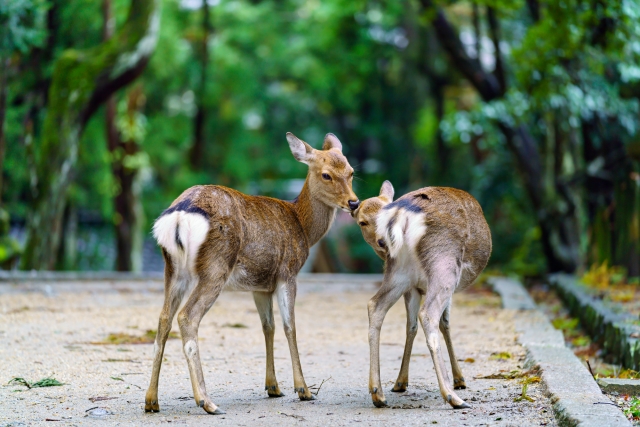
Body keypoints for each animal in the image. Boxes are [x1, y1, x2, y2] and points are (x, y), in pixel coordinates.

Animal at [144, 132, 359, 415]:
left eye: (351, 171)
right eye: (326, 175)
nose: (354, 202)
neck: (301, 226)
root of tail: (179, 216)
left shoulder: (260, 285)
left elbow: (268, 327)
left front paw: (273, 387)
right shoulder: (288, 272)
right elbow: (290, 326)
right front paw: (304, 390)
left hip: (173, 269)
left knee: (163, 319)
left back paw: (151, 400)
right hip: (215, 267)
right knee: (187, 317)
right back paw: (207, 401)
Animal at [352, 180, 491, 410]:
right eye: (362, 222)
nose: (381, 242)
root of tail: (402, 216)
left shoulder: (413, 287)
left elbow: (411, 326)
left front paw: (400, 382)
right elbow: (445, 323)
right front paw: (459, 379)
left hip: (399, 272)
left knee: (375, 305)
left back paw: (378, 393)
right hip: (444, 267)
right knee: (428, 314)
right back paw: (452, 396)